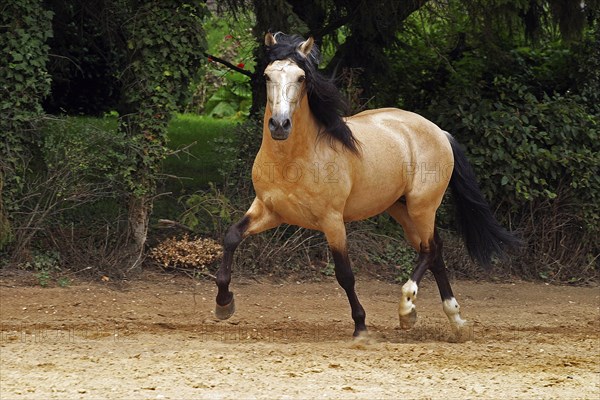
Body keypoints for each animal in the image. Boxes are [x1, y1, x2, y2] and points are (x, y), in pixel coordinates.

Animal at [213, 32, 516, 338]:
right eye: (267, 76)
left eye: (301, 77)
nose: (279, 124)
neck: (293, 159)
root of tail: (439, 132)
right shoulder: (269, 210)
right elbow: (231, 236)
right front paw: (224, 304)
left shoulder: (332, 221)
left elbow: (345, 274)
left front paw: (360, 326)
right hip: (401, 209)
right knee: (434, 250)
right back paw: (453, 319)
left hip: (423, 206)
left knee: (430, 250)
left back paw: (408, 308)